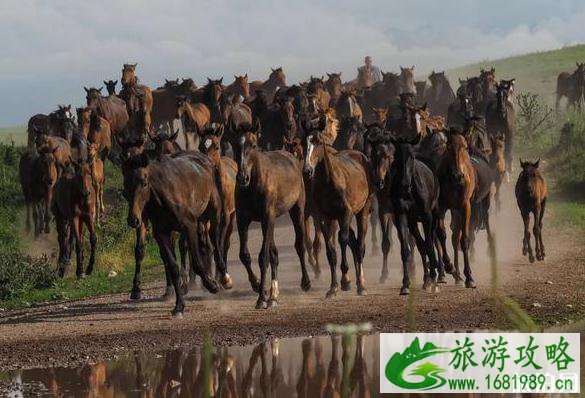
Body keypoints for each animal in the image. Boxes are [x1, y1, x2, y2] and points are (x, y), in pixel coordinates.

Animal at [232, 119, 310, 310]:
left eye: (253, 144)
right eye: (236, 144)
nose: (242, 178)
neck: (253, 185)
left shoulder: (268, 217)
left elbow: (263, 257)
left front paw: (261, 298)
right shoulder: (244, 220)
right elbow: (245, 255)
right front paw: (259, 287)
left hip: (296, 210)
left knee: (299, 245)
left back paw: (305, 282)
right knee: (275, 253)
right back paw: (274, 295)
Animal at [304, 126, 372, 296]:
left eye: (318, 141)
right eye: (304, 141)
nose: (307, 170)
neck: (329, 182)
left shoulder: (345, 214)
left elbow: (343, 240)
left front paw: (345, 281)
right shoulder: (324, 217)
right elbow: (331, 250)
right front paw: (333, 287)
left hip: (362, 212)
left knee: (359, 244)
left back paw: (361, 284)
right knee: (354, 242)